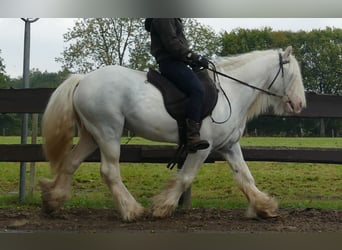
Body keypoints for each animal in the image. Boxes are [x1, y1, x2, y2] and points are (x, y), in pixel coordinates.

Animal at [40, 46, 304, 221]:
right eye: (292, 75)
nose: (299, 104)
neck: (231, 91)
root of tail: (83, 79)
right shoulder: (203, 148)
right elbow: (186, 177)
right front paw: (162, 207)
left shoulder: (229, 146)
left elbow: (245, 177)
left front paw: (264, 206)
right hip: (108, 131)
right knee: (109, 171)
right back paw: (132, 210)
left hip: (91, 134)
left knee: (71, 162)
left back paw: (53, 201)